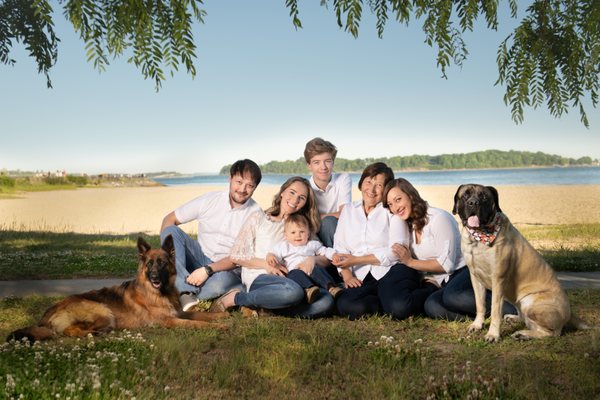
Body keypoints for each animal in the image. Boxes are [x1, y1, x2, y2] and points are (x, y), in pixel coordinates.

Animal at [7, 236, 227, 342]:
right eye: (149, 264)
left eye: (162, 263)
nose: (155, 277)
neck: (157, 293)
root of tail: (47, 314)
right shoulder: (170, 321)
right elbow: (196, 323)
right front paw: (218, 327)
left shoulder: (178, 313)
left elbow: (201, 315)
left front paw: (220, 316)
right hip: (103, 310)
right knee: (69, 331)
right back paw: (95, 333)